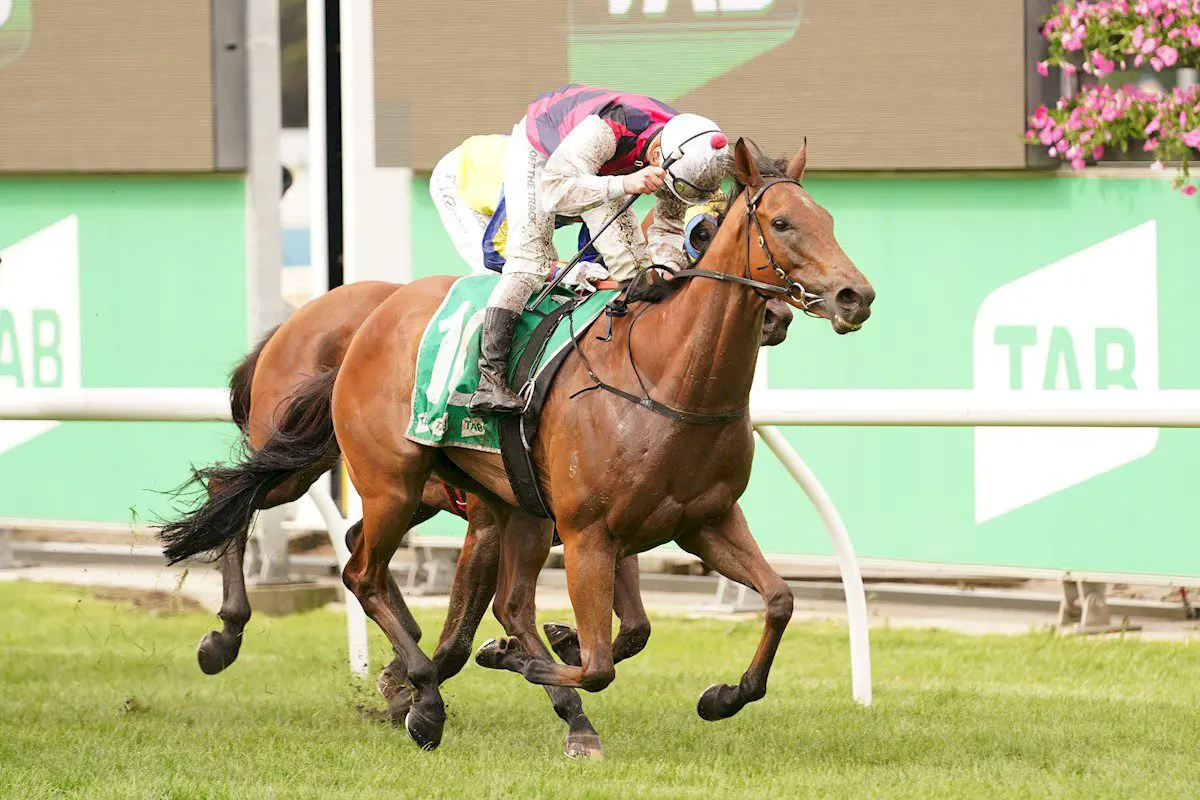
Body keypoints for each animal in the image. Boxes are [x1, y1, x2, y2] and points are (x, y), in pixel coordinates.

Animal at [319, 137, 873, 753]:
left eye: (827, 219)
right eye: (781, 222)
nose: (856, 295)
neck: (667, 381)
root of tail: (374, 317)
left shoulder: (705, 520)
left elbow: (778, 600)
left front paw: (723, 696)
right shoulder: (589, 533)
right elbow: (598, 664)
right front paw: (513, 660)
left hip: (511, 503)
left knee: (509, 603)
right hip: (394, 485)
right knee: (363, 575)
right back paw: (427, 698)